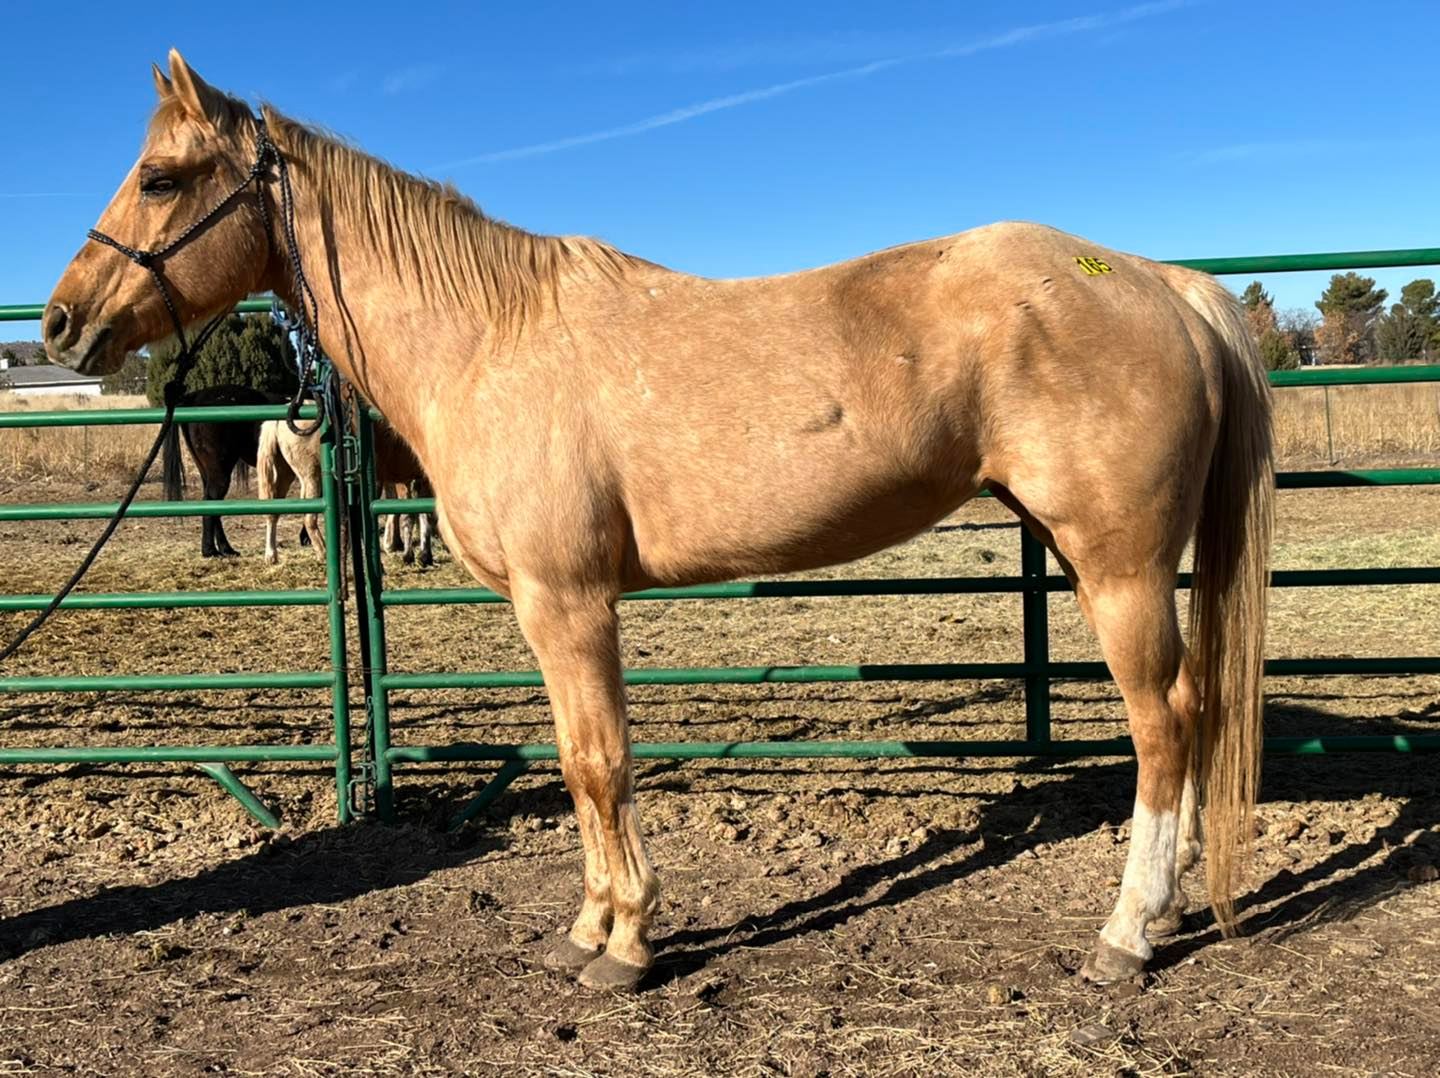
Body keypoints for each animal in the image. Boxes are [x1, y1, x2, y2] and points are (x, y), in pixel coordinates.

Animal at [161, 383, 309, 557]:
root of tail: (195, 396)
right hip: (220, 472)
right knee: (211, 500)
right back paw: (210, 550)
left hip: (206, 471)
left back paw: (225, 548)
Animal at [256, 415, 434, 566]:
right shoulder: (403, 479)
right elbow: (408, 513)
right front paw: (407, 553)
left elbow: (423, 512)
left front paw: (423, 554)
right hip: (312, 476)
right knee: (309, 519)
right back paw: (324, 553)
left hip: (285, 475)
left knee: (273, 513)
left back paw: (271, 556)